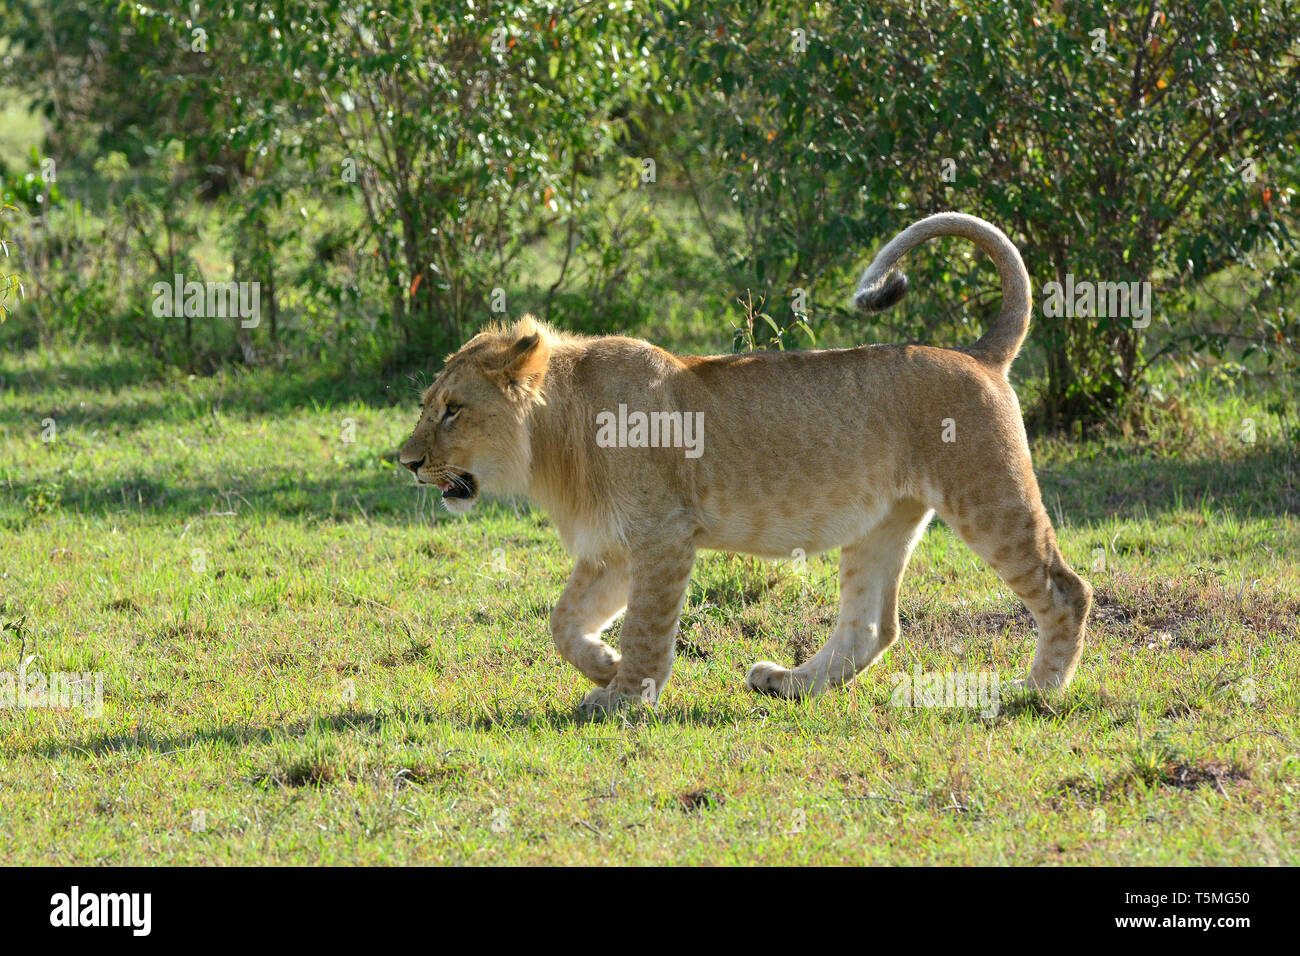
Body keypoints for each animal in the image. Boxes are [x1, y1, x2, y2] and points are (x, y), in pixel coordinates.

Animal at [400, 213, 1092, 712]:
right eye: (427, 405)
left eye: (453, 411)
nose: (405, 461)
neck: (555, 442)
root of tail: (979, 355)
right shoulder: (615, 546)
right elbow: (563, 621)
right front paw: (605, 667)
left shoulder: (663, 535)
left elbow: (645, 627)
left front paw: (624, 696)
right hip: (884, 520)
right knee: (871, 628)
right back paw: (787, 682)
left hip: (989, 495)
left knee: (1067, 589)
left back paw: (1034, 692)